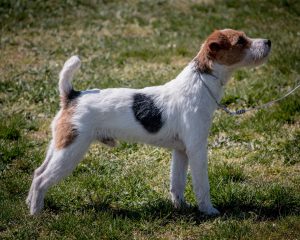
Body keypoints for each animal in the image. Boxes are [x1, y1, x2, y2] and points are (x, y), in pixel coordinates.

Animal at [25, 28, 270, 216]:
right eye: (240, 41)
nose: (268, 41)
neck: (200, 83)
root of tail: (71, 96)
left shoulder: (181, 151)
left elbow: (177, 183)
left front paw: (181, 207)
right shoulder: (197, 149)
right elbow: (202, 185)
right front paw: (208, 211)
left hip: (59, 146)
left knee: (37, 172)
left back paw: (29, 203)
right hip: (71, 151)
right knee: (42, 179)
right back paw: (36, 213)